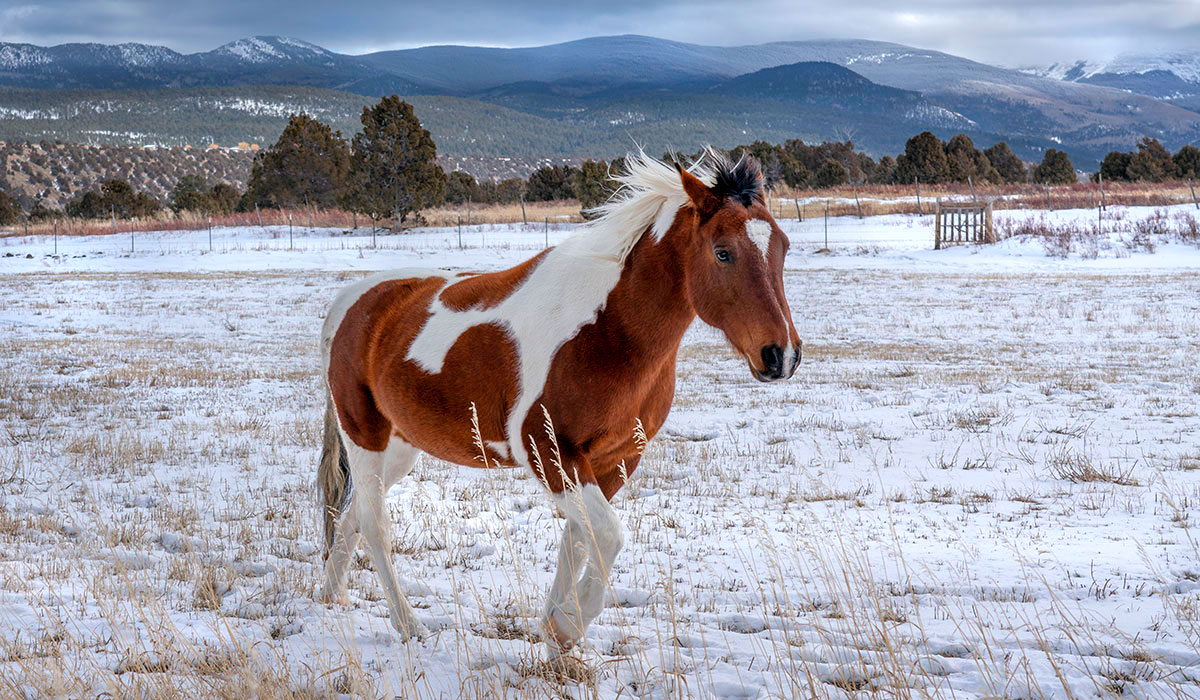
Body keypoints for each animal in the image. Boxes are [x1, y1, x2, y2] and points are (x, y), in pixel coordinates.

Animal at [319, 150, 801, 653]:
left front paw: (554, 631)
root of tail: (350, 303)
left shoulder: (614, 460)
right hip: (365, 438)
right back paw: (408, 624)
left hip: (400, 448)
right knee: (375, 525)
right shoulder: (549, 452)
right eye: (722, 252)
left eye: (784, 248)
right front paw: (567, 625)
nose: (781, 355)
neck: (607, 331)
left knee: (353, 517)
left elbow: (579, 540)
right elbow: (607, 535)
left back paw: (333, 596)